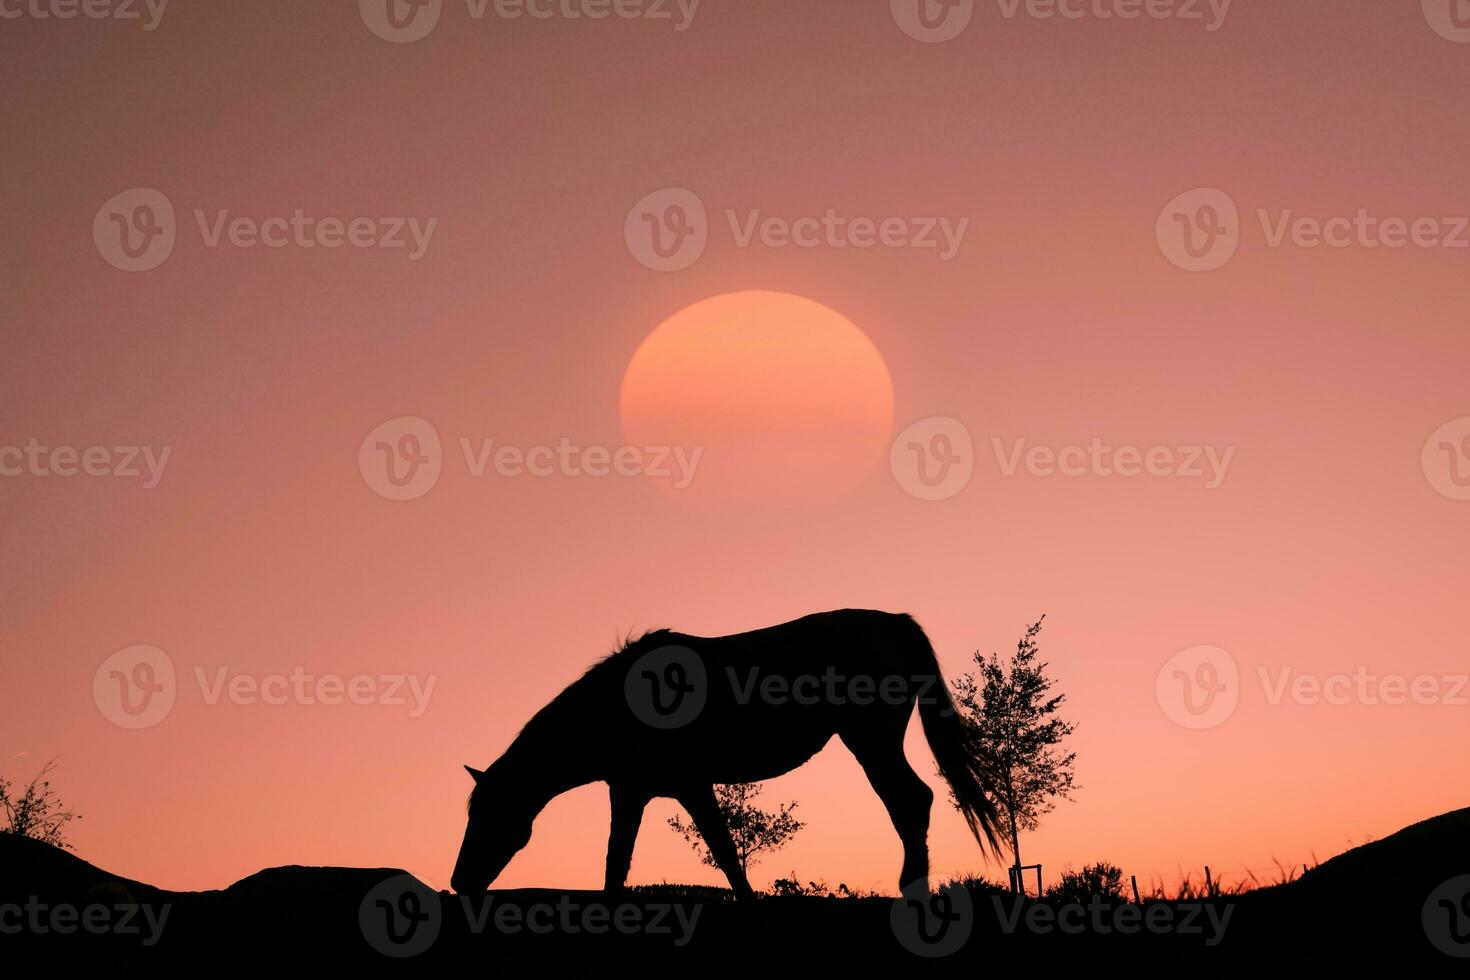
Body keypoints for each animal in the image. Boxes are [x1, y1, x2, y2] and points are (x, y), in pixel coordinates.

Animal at [449, 608, 999, 899]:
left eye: (490, 816)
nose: (459, 883)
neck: (617, 705)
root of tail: (898, 623)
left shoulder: (691, 786)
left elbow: (723, 850)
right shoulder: (632, 791)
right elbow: (615, 862)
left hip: (870, 740)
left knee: (910, 801)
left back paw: (912, 888)